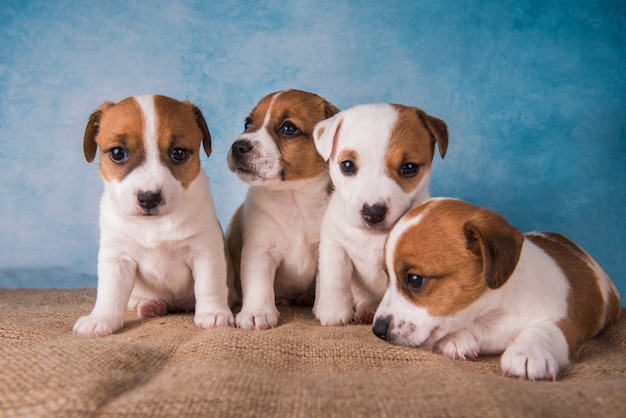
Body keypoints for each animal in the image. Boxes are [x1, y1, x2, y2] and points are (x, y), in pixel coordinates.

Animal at [227, 89, 338, 330]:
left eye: (288, 128)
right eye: (248, 123)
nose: (238, 147)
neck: (294, 199)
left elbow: (328, 280)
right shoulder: (259, 252)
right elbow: (259, 285)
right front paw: (256, 313)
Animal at [310, 103, 444, 324]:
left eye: (409, 167)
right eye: (347, 165)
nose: (373, 212)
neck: (372, 236)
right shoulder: (334, 244)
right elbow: (335, 277)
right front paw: (333, 311)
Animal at [370, 198, 620, 380]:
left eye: (415, 279)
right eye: (388, 277)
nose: (377, 331)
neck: (490, 314)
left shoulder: (565, 323)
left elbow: (544, 330)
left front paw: (528, 352)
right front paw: (455, 339)